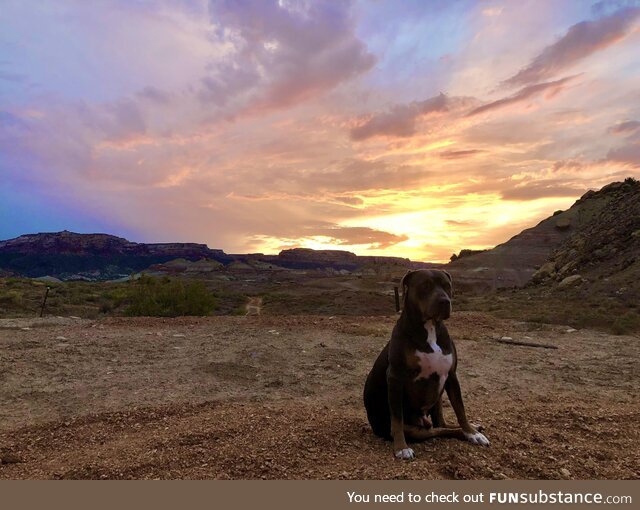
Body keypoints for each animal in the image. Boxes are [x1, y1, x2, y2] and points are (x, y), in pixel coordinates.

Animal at [362, 268, 488, 460]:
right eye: (425, 285)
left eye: (447, 285)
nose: (445, 301)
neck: (430, 328)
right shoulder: (395, 378)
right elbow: (397, 418)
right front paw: (401, 448)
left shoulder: (451, 375)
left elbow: (460, 409)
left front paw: (472, 433)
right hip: (415, 429)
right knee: (436, 430)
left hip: (438, 397)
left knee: (441, 424)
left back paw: (472, 428)